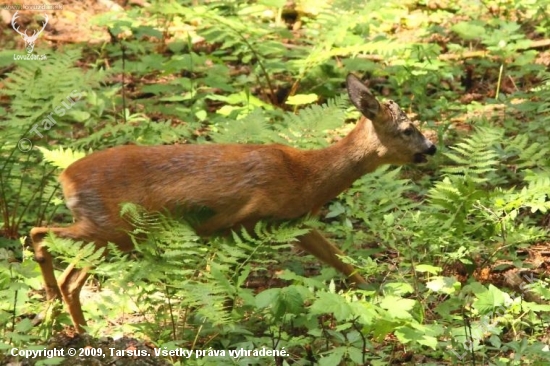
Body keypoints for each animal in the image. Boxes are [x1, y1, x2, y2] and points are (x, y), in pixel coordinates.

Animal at [30, 73, 438, 332]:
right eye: (407, 130)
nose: (431, 147)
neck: (306, 176)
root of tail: (66, 177)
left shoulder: (293, 224)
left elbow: (341, 261)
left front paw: (381, 297)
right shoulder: (245, 221)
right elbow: (225, 282)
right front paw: (222, 329)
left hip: (112, 232)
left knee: (61, 265)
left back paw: (65, 321)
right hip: (113, 228)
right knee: (46, 241)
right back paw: (74, 325)